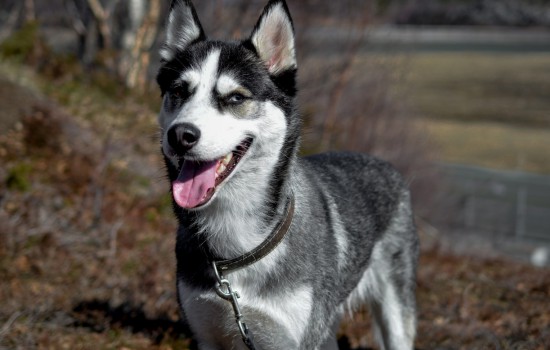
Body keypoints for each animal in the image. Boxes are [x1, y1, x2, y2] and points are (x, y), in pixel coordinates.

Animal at [157, 0, 420, 348]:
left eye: (236, 97)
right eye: (178, 91)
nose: (180, 135)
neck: (238, 247)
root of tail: (383, 164)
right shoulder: (208, 333)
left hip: (394, 310)